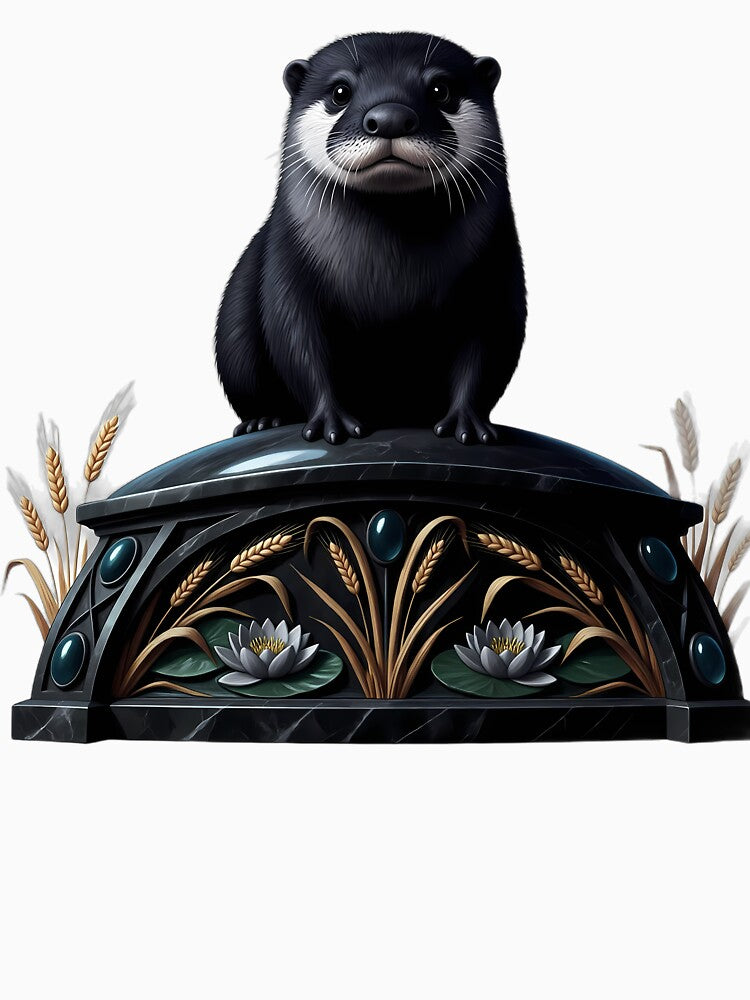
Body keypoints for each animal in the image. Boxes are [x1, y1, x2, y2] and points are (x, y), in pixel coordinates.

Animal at [215, 31, 526, 444]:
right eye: (340, 91)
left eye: (441, 89)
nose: (391, 118)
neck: (390, 281)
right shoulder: (287, 268)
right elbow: (298, 343)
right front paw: (330, 421)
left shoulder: (495, 270)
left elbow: (487, 350)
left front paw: (467, 422)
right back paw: (263, 419)